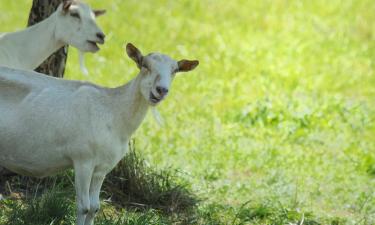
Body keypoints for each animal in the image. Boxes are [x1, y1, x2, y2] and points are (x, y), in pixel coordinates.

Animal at [0, 43, 200, 224]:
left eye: (175, 70)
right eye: (145, 65)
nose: (161, 90)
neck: (114, 113)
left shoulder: (102, 167)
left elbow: (95, 207)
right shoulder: (83, 160)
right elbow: (84, 206)